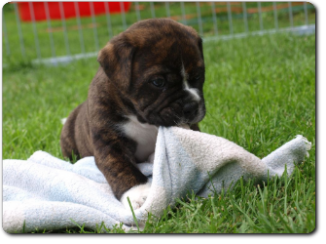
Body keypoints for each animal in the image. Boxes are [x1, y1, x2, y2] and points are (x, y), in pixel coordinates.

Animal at [59, 19, 205, 210]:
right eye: (158, 82)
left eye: (198, 77)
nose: (191, 106)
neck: (140, 117)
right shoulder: (110, 144)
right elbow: (122, 169)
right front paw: (139, 193)